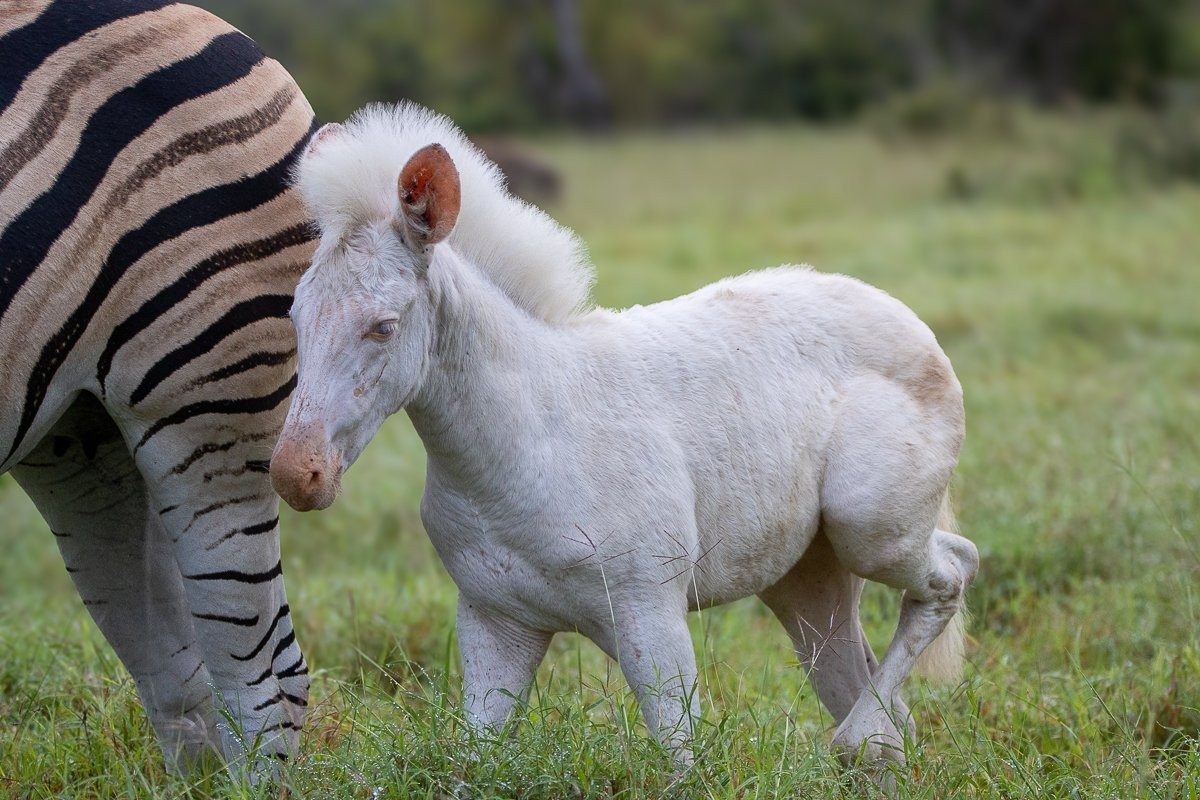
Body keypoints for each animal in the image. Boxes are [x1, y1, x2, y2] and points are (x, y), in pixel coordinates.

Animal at [269, 102, 980, 783]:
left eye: (383, 326)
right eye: (294, 314)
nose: (296, 475)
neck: (527, 446)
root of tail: (915, 329)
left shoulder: (650, 615)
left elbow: (683, 763)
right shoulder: (497, 624)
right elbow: (472, 761)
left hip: (869, 527)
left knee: (953, 571)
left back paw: (855, 738)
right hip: (807, 578)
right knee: (873, 691)